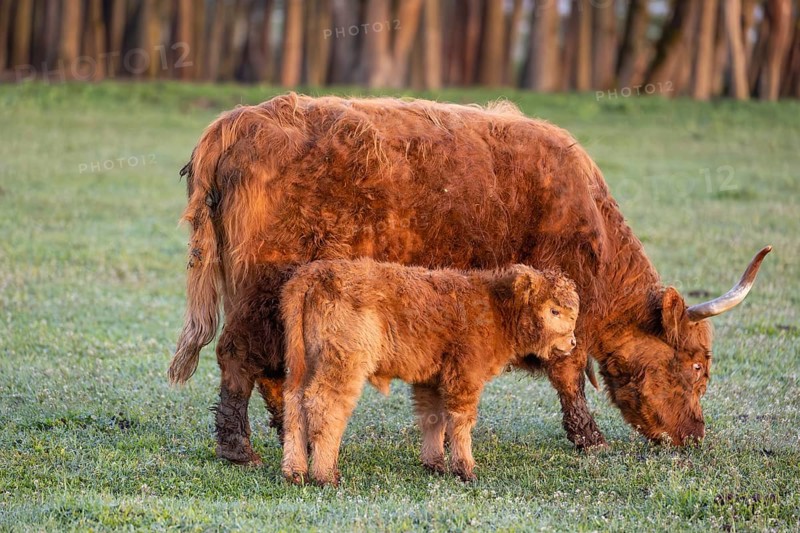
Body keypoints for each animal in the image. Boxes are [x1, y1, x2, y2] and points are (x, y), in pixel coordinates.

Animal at [278, 259, 579, 485]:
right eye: (554, 310)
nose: (573, 342)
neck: (494, 307)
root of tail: (317, 272)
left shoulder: (431, 379)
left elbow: (433, 418)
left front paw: (434, 464)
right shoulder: (464, 375)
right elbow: (460, 421)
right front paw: (465, 469)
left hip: (305, 364)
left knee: (295, 405)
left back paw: (295, 472)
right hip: (342, 364)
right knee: (325, 406)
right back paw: (325, 475)